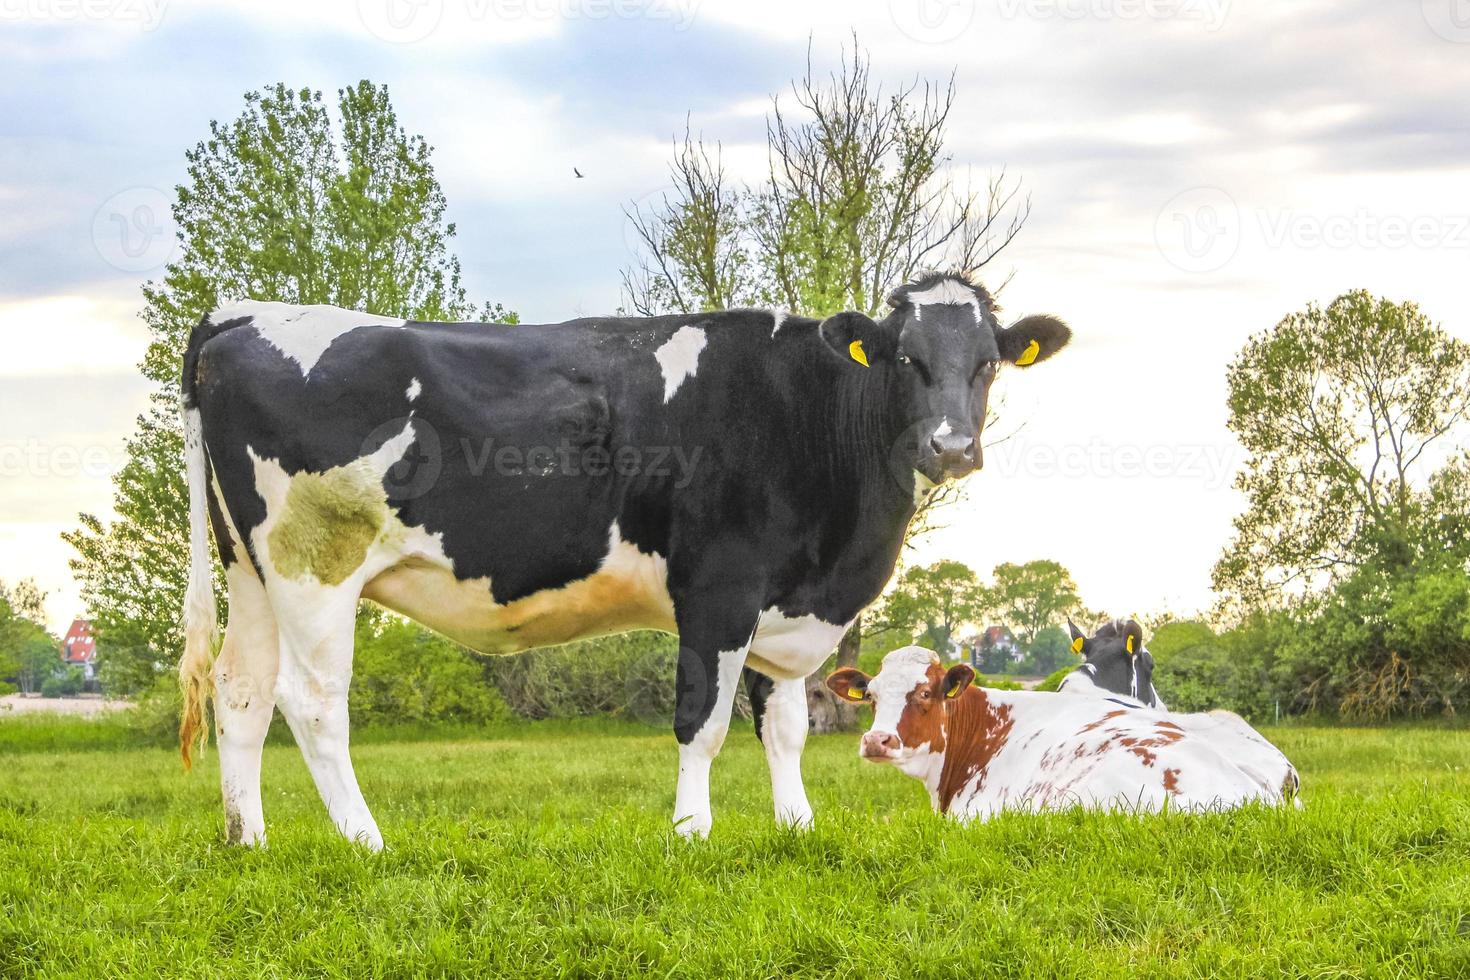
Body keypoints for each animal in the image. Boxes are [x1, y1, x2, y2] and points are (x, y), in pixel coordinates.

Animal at [177, 271, 1070, 846]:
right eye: (906, 359)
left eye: (987, 362)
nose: (951, 447)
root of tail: (237, 314)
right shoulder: (719, 588)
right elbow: (702, 722)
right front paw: (692, 831)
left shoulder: (784, 603)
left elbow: (784, 724)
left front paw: (797, 826)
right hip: (316, 563)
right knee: (311, 702)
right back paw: (366, 839)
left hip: (250, 567)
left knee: (241, 692)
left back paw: (247, 838)